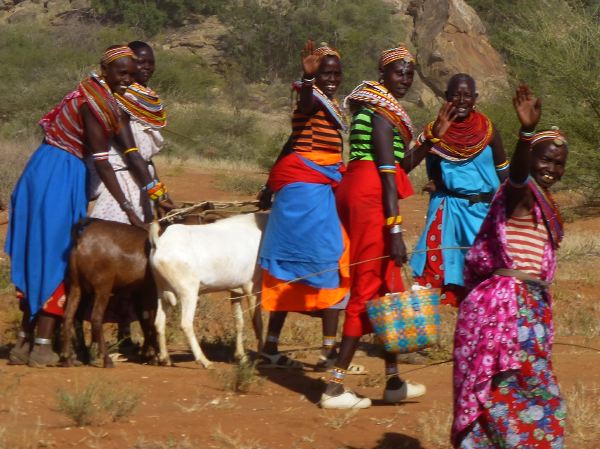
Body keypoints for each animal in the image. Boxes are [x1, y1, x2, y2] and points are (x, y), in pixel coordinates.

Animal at [62, 218, 158, 368]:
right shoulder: (152, 291)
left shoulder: (138, 292)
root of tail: (81, 241)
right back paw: (107, 359)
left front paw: (146, 355)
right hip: (103, 287)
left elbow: (144, 319)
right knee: (96, 318)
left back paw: (68, 359)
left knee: (68, 316)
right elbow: (151, 320)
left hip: (76, 286)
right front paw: (154, 356)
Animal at [147, 214, 264, 368]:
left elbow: (239, 322)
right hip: (188, 293)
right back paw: (204, 361)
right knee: (186, 324)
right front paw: (262, 357)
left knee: (159, 323)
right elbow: (258, 324)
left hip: (161, 293)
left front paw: (241, 357)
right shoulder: (252, 288)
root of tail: (159, 243)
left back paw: (166, 359)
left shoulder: (236, 292)